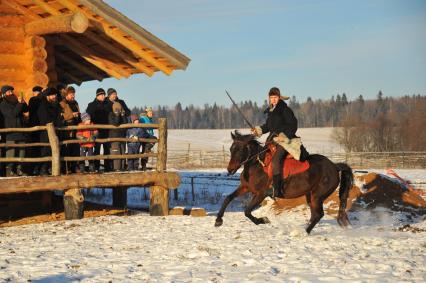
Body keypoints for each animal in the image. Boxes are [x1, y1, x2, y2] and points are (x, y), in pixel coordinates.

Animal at [215, 132, 354, 234]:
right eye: (231, 149)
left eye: (239, 150)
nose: (230, 170)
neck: (257, 164)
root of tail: (334, 166)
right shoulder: (245, 187)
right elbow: (228, 198)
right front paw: (218, 220)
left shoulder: (260, 194)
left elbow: (247, 211)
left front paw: (263, 220)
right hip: (310, 195)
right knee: (315, 214)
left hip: (317, 196)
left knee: (319, 214)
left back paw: (304, 232)